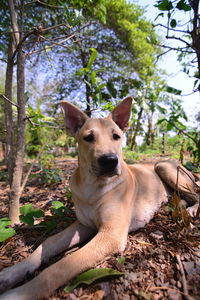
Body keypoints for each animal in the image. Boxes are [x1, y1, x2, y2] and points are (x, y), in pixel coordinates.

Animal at [0, 97, 198, 298]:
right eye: (88, 137)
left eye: (116, 136)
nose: (109, 160)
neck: (92, 187)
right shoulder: (83, 225)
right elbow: (47, 243)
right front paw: (12, 272)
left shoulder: (111, 234)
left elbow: (61, 266)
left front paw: (21, 293)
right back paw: (177, 204)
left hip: (164, 167)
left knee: (196, 194)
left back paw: (190, 209)